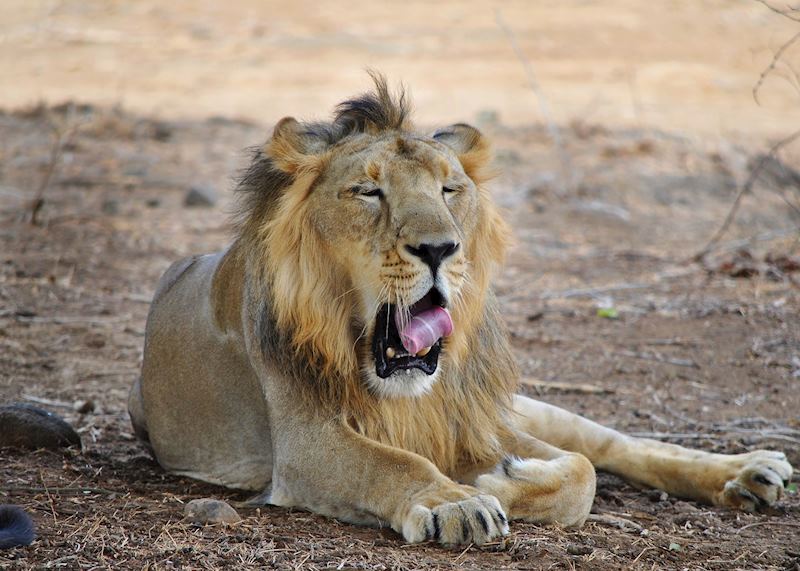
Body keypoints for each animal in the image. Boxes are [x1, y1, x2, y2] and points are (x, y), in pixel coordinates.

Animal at [128, 74, 793, 545]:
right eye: (368, 192)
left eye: (450, 189)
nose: (439, 249)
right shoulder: (304, 439)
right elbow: (393, 464)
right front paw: (460, 500)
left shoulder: (471, 417)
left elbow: (582, 471)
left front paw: (506, 477)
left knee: (609, 442)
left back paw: (751, 470)